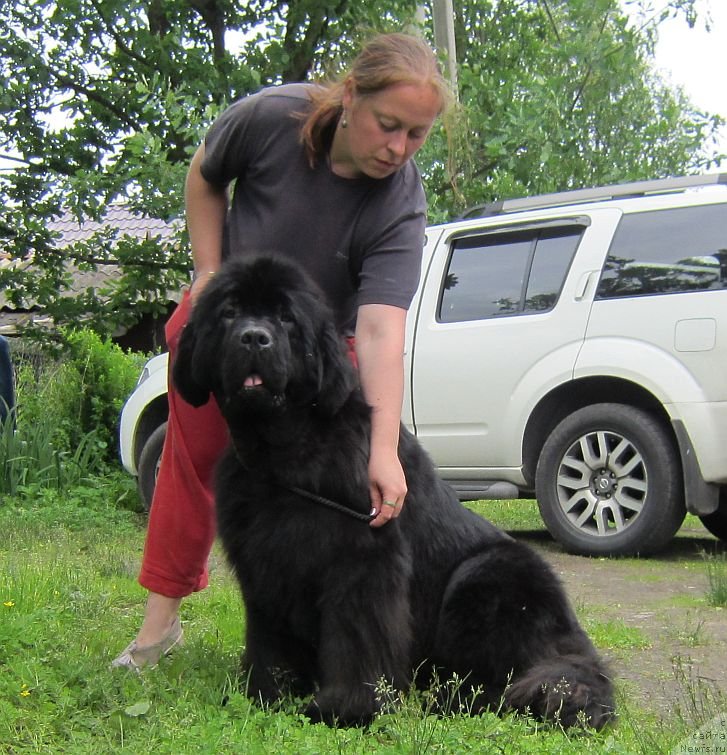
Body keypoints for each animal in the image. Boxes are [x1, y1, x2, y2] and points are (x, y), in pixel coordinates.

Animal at [175, 256, 616, 728]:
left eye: (285, 318)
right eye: (229, 312)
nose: (254, 337)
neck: (286, 451)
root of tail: (579, 650)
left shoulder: (362, 563)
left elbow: (357, 638)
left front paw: (347, 708)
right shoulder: (263, 565)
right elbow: (267, 639)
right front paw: (265, 694)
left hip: (487, 577)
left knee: (503, 681)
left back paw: (452, 701)